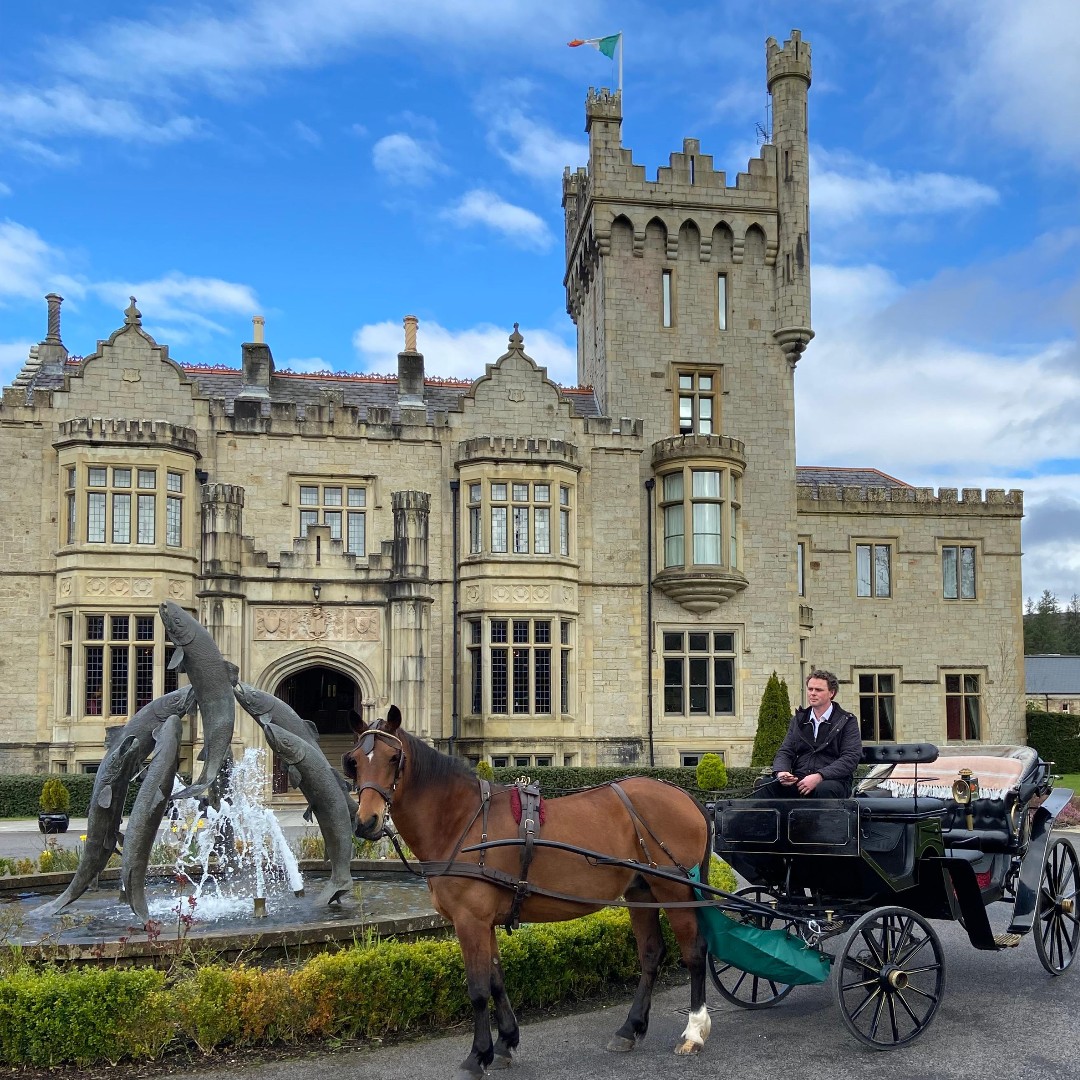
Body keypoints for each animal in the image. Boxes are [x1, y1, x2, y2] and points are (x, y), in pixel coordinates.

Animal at [345, 708, 712, 1080]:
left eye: (394, 758)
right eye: (355, 761)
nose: (366, 821)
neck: (463, 821)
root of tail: (684, 795)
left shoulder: (470, 921)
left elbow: (478, 989)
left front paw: (477, 1056)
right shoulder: (485, 922)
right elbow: (496, 979)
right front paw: (504, 1043)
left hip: (675, 889)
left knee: (694, 952)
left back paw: (694, 1030)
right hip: (642, 891)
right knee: (651, 953)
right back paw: (630, 1028)